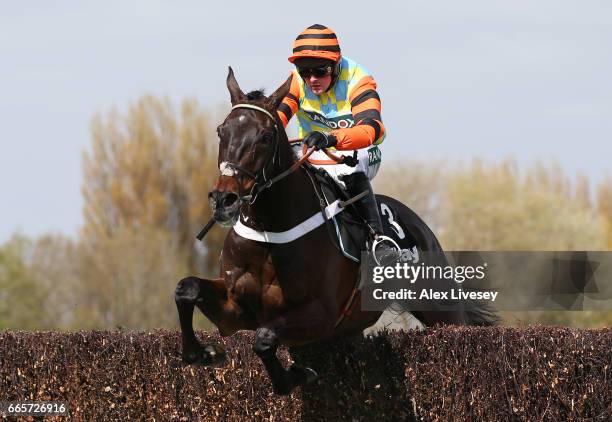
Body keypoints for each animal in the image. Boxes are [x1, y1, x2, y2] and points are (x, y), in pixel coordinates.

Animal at [173, 67, 498, 396]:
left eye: (265, 136)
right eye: (221, 131)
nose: (224, 199)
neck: (269, 232)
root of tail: (421, 226)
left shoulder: (322, 315)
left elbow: (265, 338)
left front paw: (296, 376)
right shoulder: (235, 311)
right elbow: (187, 289)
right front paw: (201, 352)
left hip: (440, 306)